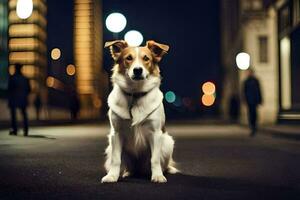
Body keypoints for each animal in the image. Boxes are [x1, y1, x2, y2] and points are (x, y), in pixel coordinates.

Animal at [102, 39, 178, 183]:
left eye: (146, 58)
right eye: (128, 58)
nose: (137, 70)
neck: (135, 94)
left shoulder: (156, 133)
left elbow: (155, 159)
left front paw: (158, 176)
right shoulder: (116, 134)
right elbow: (116, 159)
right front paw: (112, 176)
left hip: (167, 143)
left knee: (161, 163)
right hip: (111, 147)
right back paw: (128, 172)